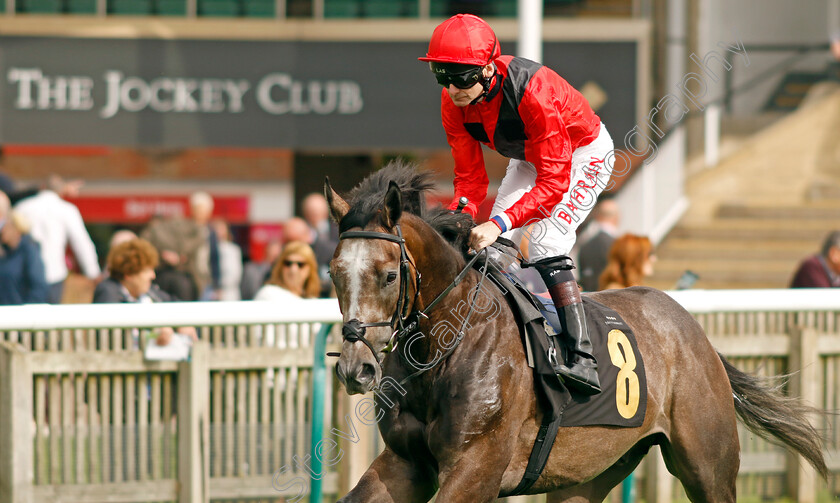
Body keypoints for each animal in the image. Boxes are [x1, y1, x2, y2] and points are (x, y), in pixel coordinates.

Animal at [324, 163, 828, 502]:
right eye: (334, 273)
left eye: (389, 275)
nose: (355, 369)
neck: (445, 347)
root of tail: (693, 330)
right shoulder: (404, 463)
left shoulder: (475, 466)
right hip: (587, 473)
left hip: (708, 466)